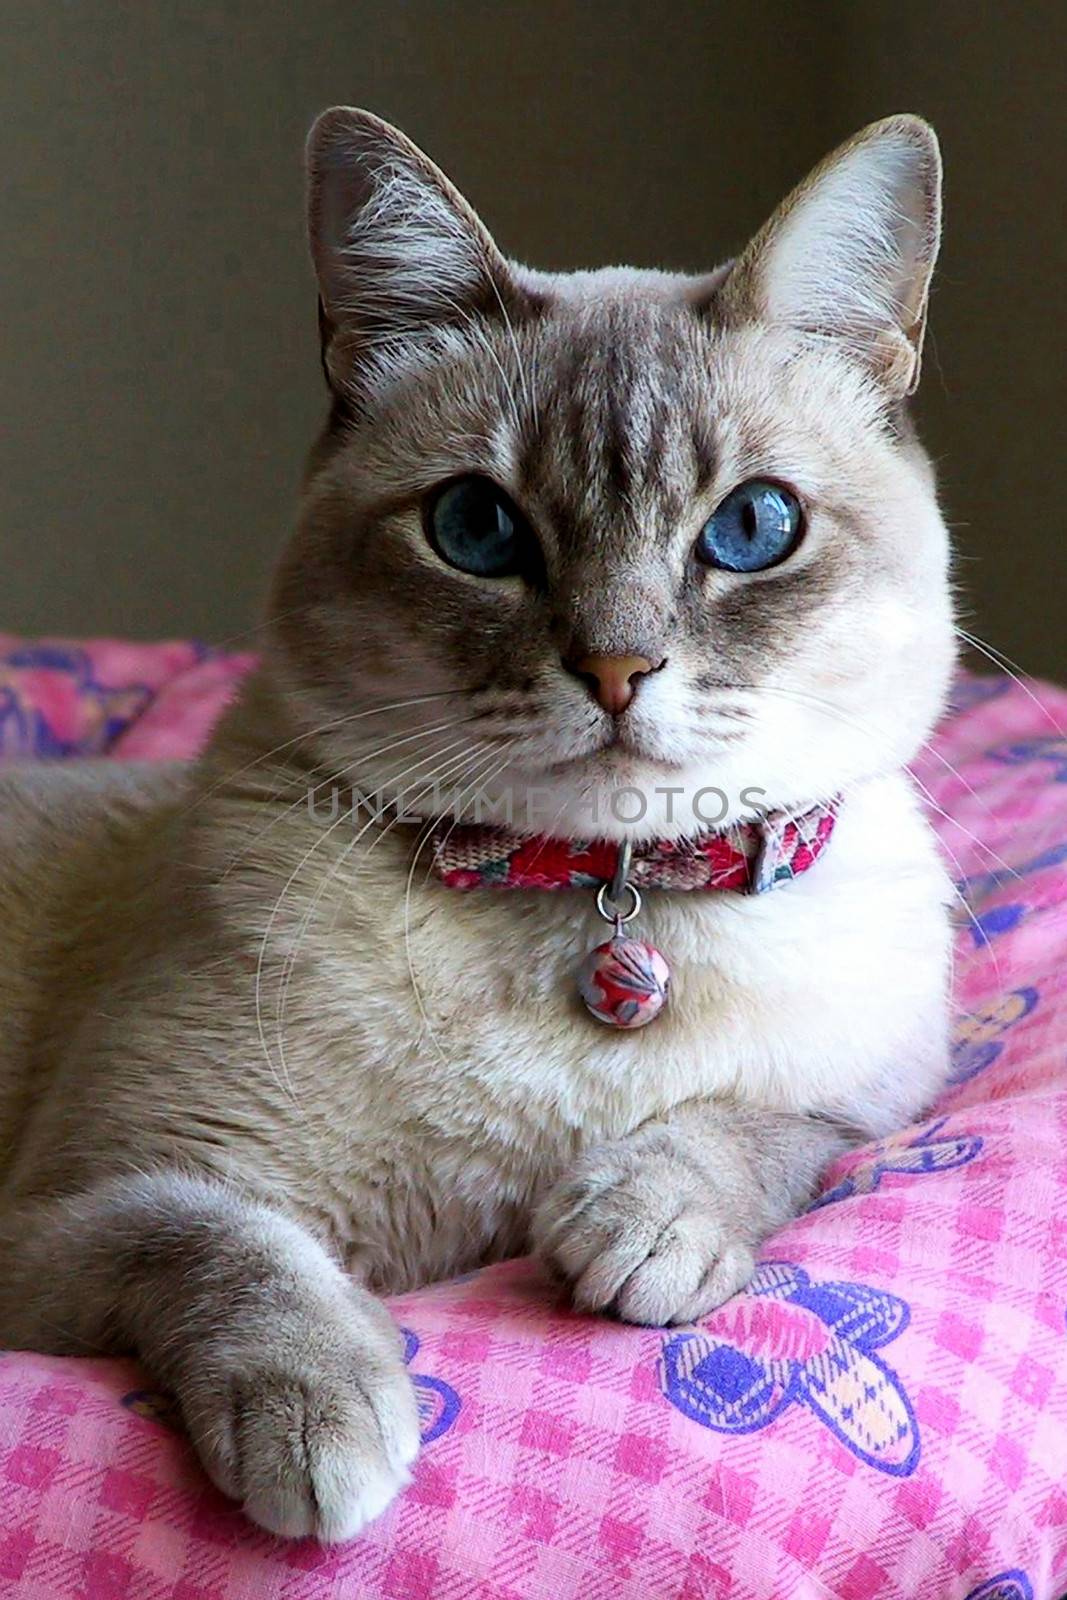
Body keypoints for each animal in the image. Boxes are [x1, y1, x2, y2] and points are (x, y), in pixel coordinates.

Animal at [0, 109, 953, 1536]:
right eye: (474, 528)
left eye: (751, 526)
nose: (616, 670)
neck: (592, 889)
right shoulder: (77, 1208)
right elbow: (230, 1243)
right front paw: (330, 1433)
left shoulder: (874, 1109)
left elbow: (759, 1132)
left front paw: (636, 1224)